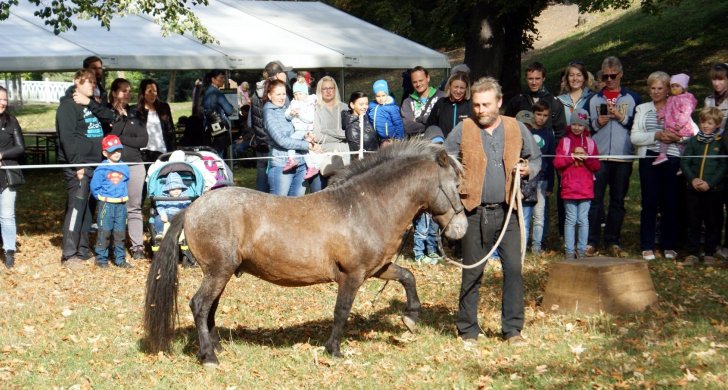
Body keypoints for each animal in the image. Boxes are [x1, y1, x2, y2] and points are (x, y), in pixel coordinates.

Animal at [142, 141, 466, 368]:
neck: (364, 207)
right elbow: (341, 311)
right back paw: (209, 356)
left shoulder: (377, 268)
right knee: (199, 305)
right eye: (455, 186)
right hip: (218, 272)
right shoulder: (352, 275)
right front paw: (334, 350)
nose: (460, 229)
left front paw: (411, 317)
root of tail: (191, 208)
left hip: (220, 273)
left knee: (209, 309)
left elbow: (408, 277)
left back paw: (217, 347)